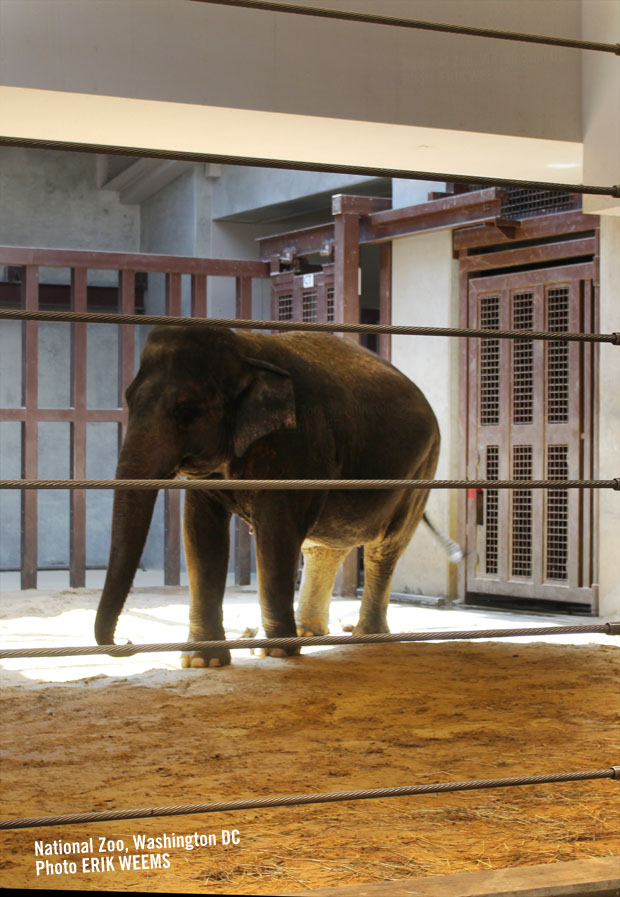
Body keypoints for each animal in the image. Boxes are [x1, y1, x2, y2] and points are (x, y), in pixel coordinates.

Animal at [94, 323, 440, 667]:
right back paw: (307, 633)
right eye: (128, 400)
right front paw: (203, 661)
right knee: (323, 548)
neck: (244, 348)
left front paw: (275, 651)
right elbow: (200, 531)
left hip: (422, 469)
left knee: (384, 548)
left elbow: (276, 533)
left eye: (186, 412)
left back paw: (366, 637)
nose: (127, 641)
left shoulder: (297, 444)